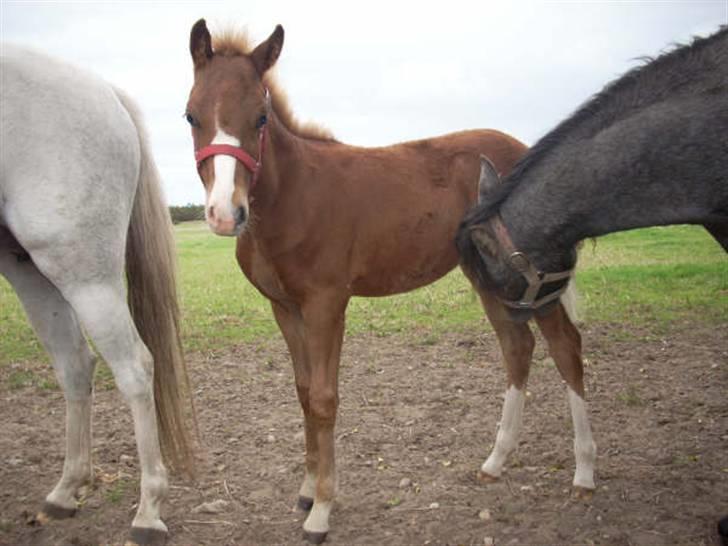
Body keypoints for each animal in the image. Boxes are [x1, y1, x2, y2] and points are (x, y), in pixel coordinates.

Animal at [0, 44, 193, 540]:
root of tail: (105, 90)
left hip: (80, 270)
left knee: (134, 367)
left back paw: (148, 512)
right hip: (29, 268)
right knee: (74, 364)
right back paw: (65, 491)